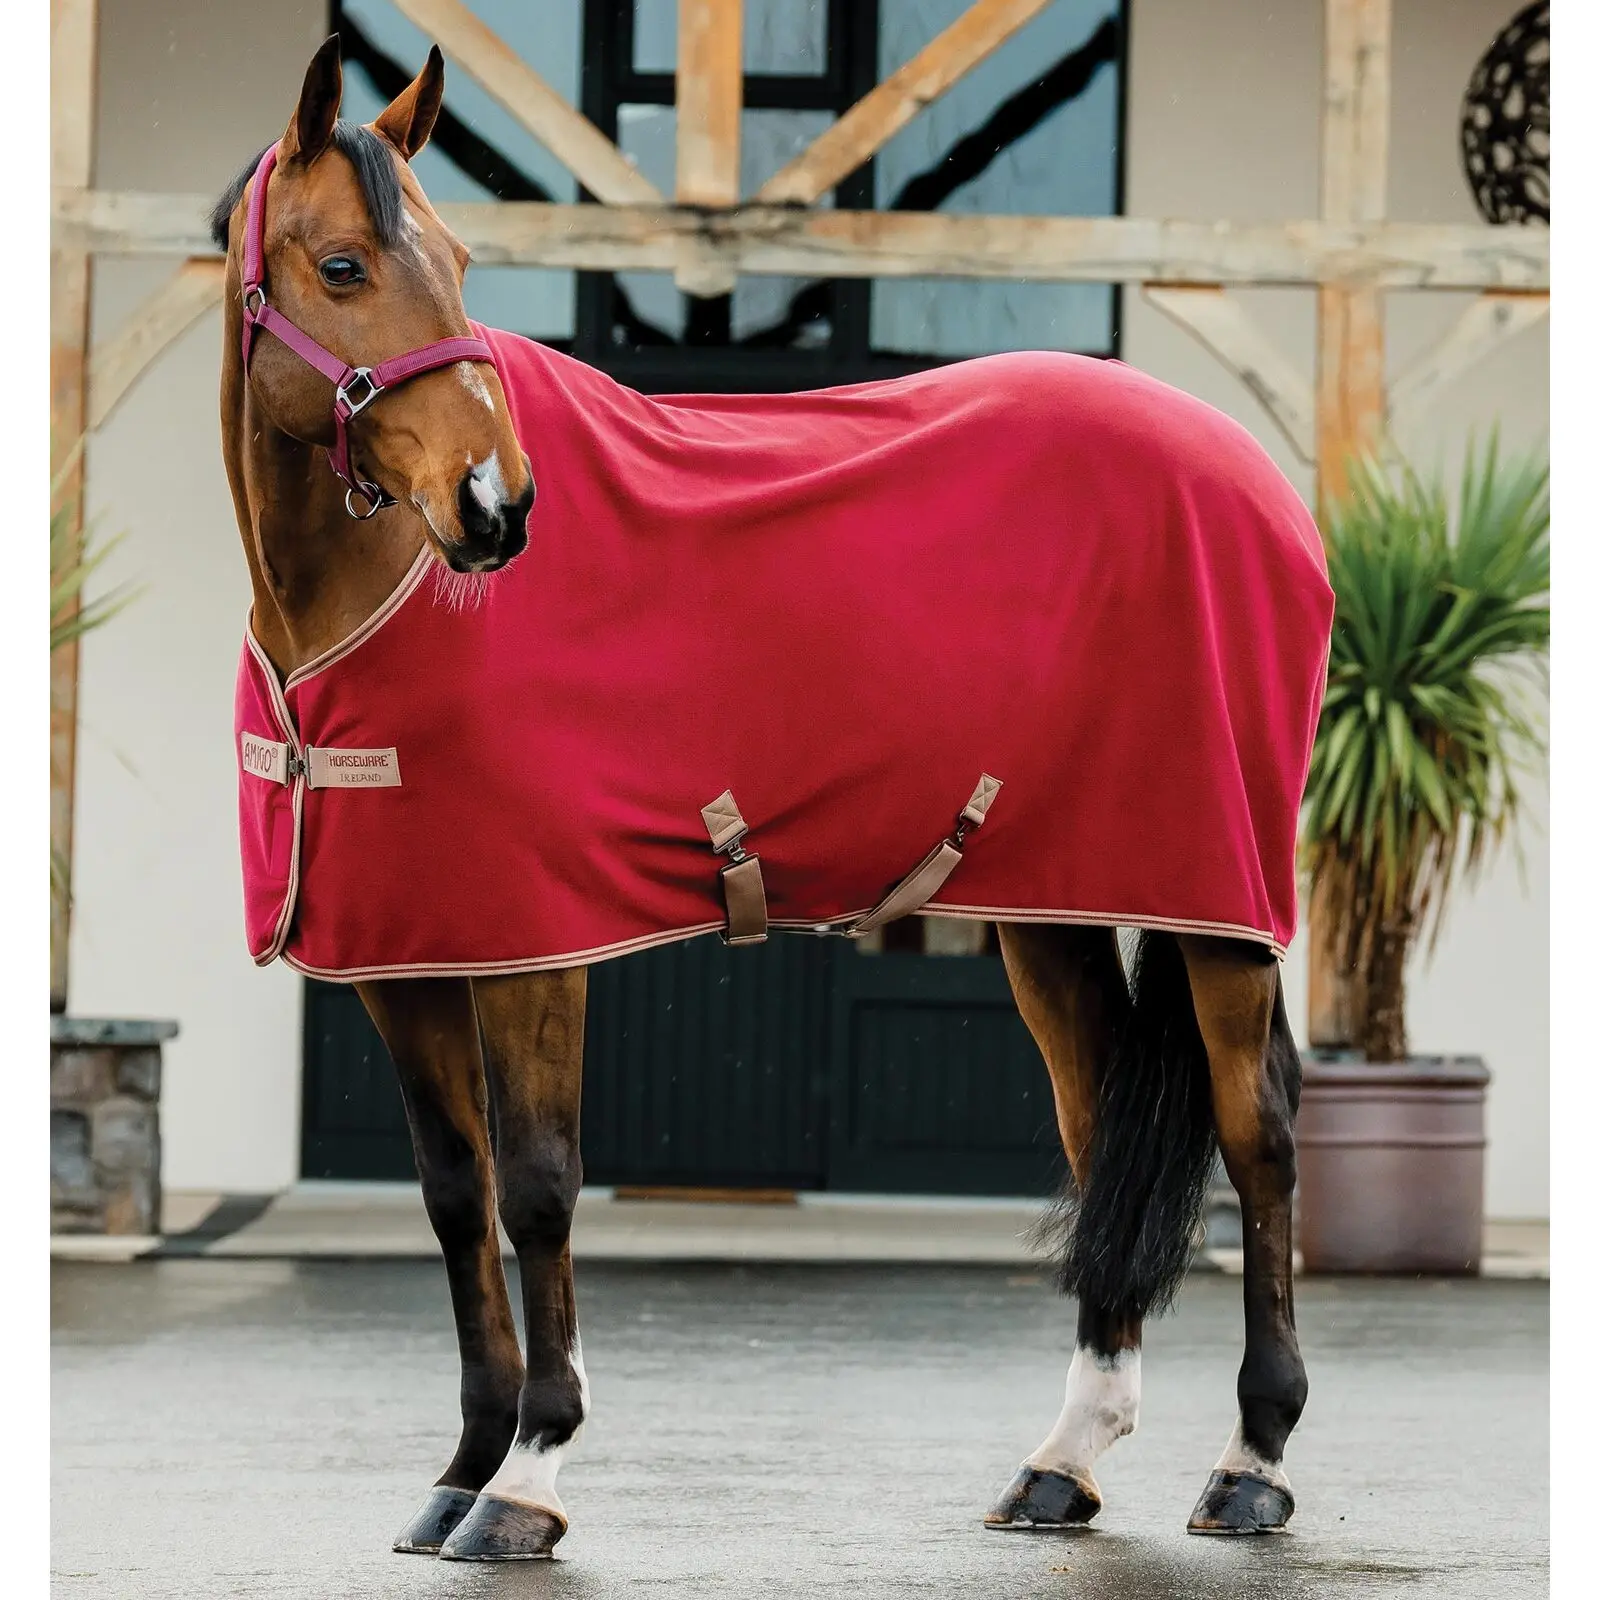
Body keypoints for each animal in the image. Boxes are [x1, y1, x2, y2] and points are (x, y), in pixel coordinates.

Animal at [213, 37, 1328, 1562]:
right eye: (341, 266)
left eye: (458, 259)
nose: (497, 506)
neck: (370, 602)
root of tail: (1260, 483)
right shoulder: (406, 960)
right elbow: (455, 1197)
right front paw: (458, 1468)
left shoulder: (536, 954)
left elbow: (541, 1189)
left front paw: (526, 1481)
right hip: (1053, 906)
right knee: (1102, 1125)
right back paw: (1063, 1462)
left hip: (1219, 907)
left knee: (1256, 1134)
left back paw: (1254, 1462)